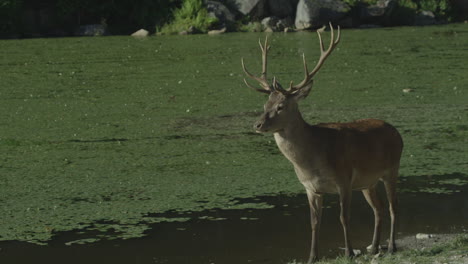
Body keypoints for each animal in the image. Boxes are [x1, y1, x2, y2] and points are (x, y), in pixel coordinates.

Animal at [241, 23, 402, 262]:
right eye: (264, 105)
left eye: (280, 106)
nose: (257, 124)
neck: (313, 159)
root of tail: (397, 132)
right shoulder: (310, 188)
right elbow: (314, 222)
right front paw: (312, 257)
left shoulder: (344, 179)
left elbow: (343, 218)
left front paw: (349, 253)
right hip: (368, 182)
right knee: (378, 208)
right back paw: (374, 247)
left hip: (392, 169)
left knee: (393, 206)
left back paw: (391, 246)